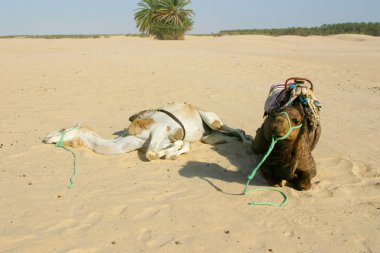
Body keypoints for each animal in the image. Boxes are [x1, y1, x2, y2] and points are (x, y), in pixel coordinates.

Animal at [43, 101, 252, 159]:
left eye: (62, 128)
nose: (45, 137)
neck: (133, 138)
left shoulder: (160, 129)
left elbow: (151, 154)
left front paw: (173, 153)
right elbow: (174, 146)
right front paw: (174, 150)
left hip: (210, 117)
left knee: (234, 129)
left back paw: (248, 141)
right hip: (208, 135)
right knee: (222, 136)